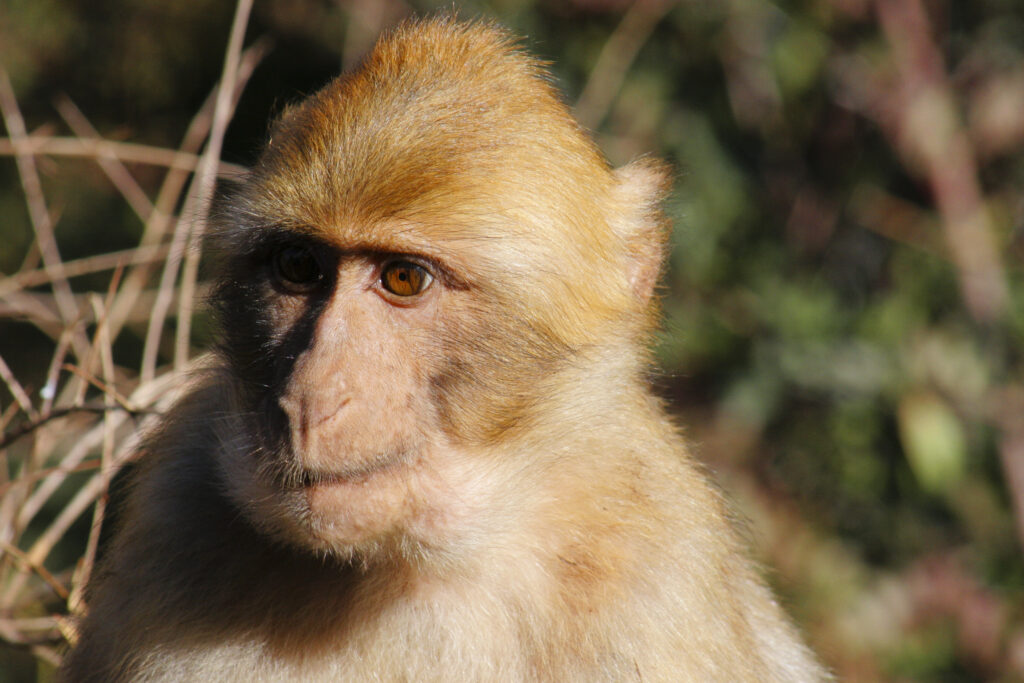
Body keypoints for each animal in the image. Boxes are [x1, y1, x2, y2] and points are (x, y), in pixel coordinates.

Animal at [60, 17, 828, 682]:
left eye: (405, 278)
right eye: (299, 268)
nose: (311, 395)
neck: (422, 563)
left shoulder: (656, 578)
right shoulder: (181, 509)